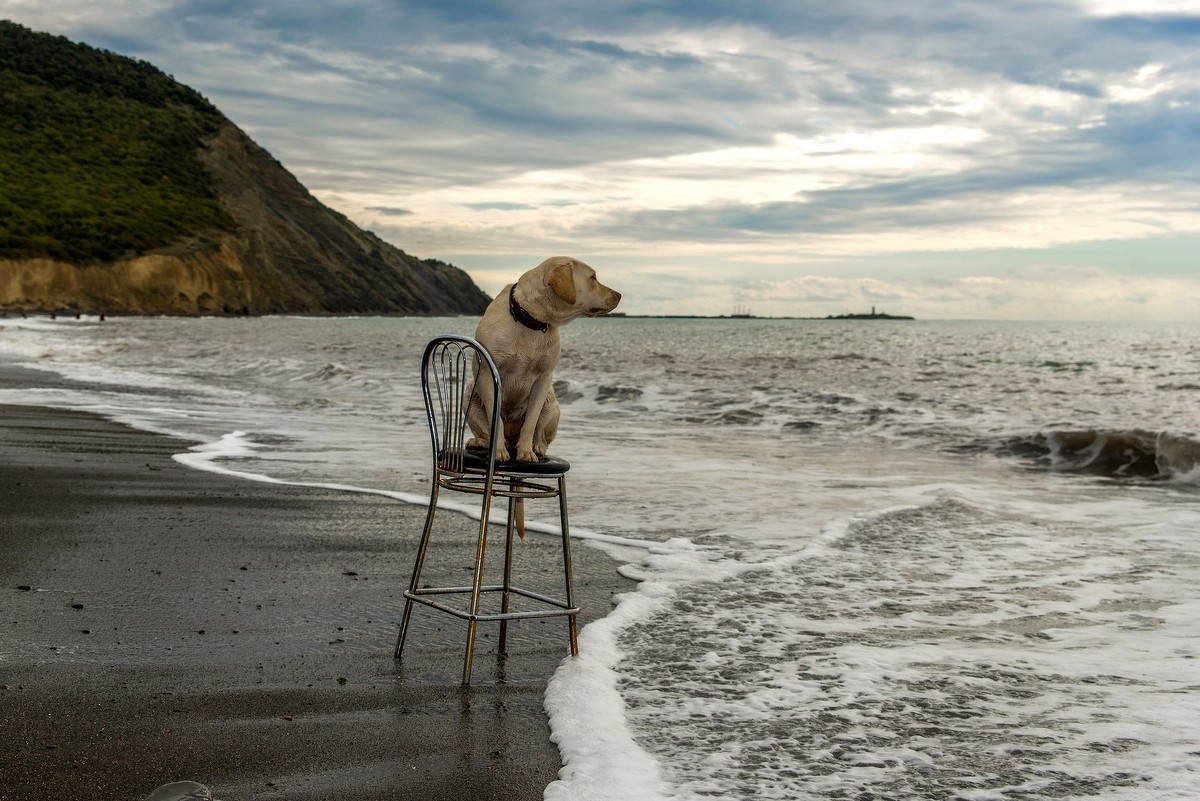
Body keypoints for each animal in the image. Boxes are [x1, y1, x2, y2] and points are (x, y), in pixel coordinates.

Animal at [465, 253, 624, 465]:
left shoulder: (544, 378)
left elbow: (531, 422)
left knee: (541, 433)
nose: (619, 295)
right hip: (469, 393)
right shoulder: (488, 374)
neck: (531, 320)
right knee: (486, 431)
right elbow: (495, 420)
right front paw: (497, 451)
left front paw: (526, 452)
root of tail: (511, 439)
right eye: (593, 278)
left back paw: (536, 447)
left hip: (552, 403)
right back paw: (481, 442)